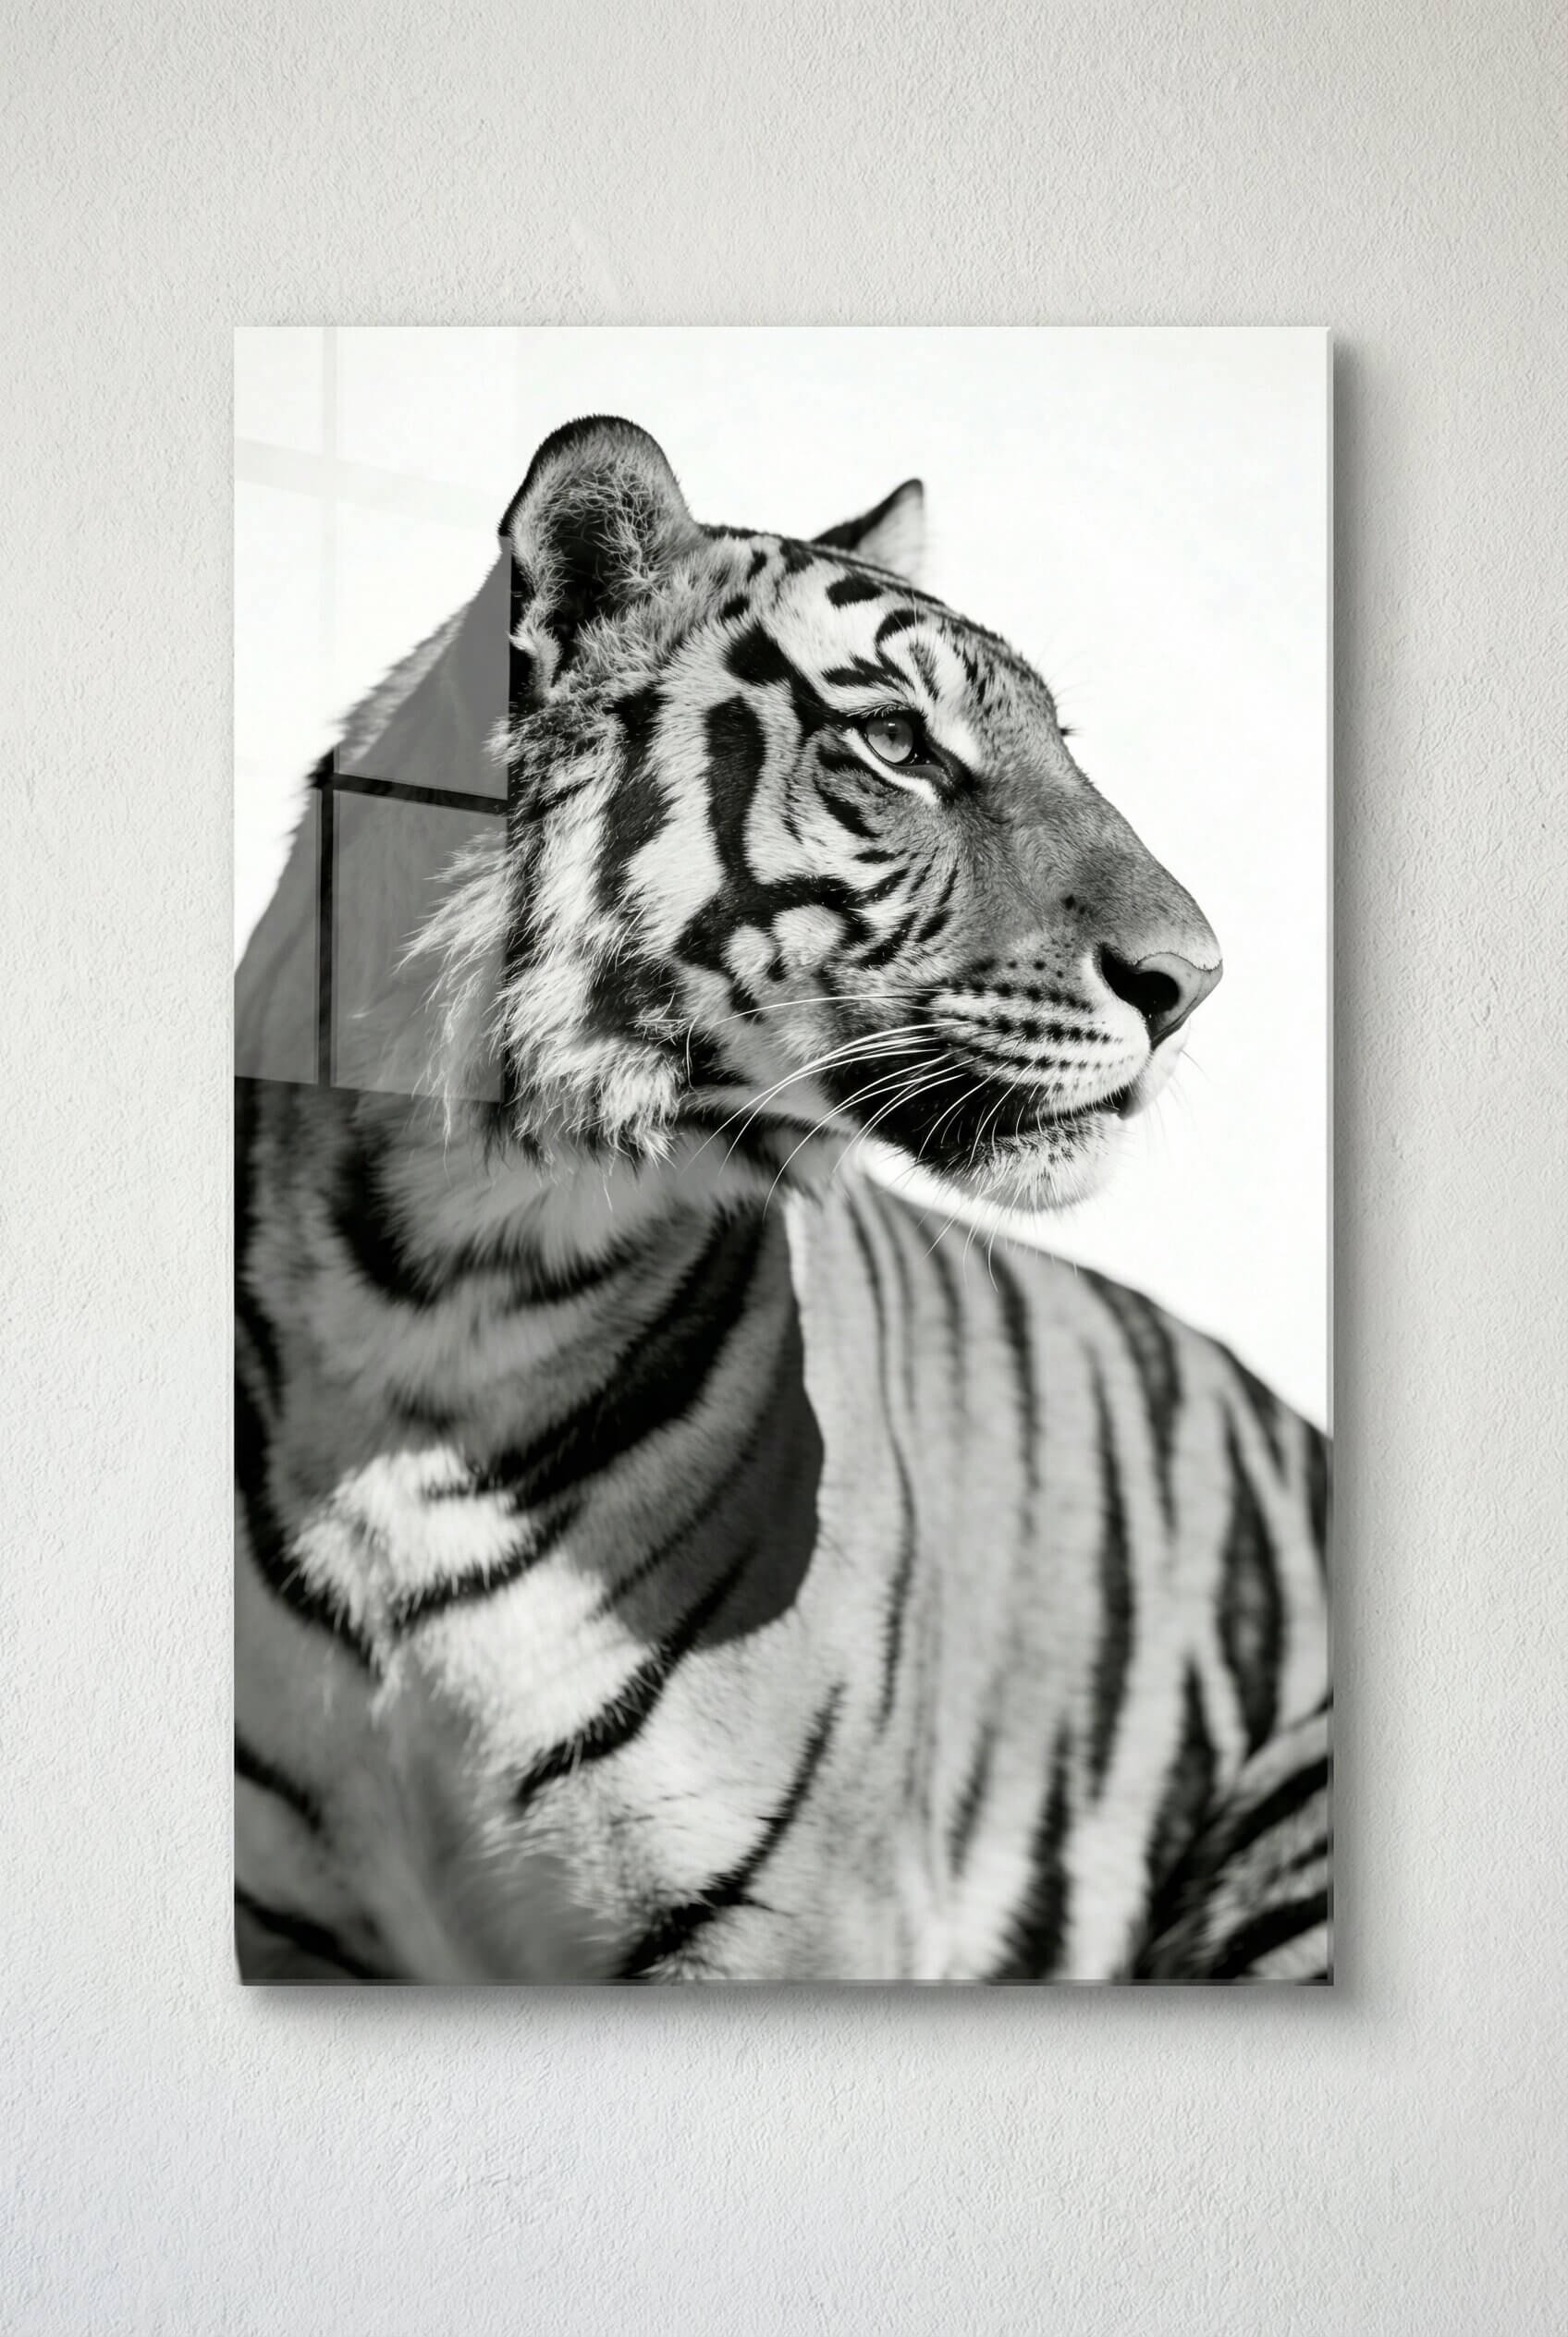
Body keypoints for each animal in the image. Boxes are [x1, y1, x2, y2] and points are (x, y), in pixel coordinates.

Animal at [235, 415, 1330, 1985]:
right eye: (897, 745)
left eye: (1059, 746)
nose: (1195, 983)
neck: (436, 1286)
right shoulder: (301, 1926)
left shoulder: (788, 1919)